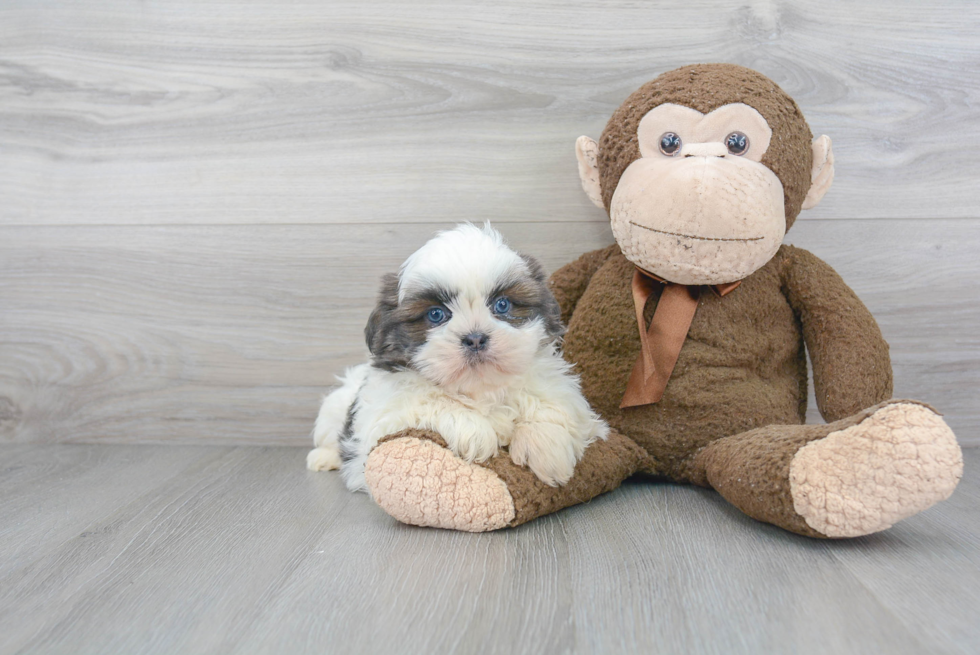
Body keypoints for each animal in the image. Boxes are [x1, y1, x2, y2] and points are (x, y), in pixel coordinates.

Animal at [306, 223, 608, 490]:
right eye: (436, 314)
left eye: (502, 305)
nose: (475, 338)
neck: (479, 387)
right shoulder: (383, 416)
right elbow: (429, 400)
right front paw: (474, 432)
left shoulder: (559, 388)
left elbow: (554, 403)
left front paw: (546, 446)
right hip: (334, 408)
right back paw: (324, 458)